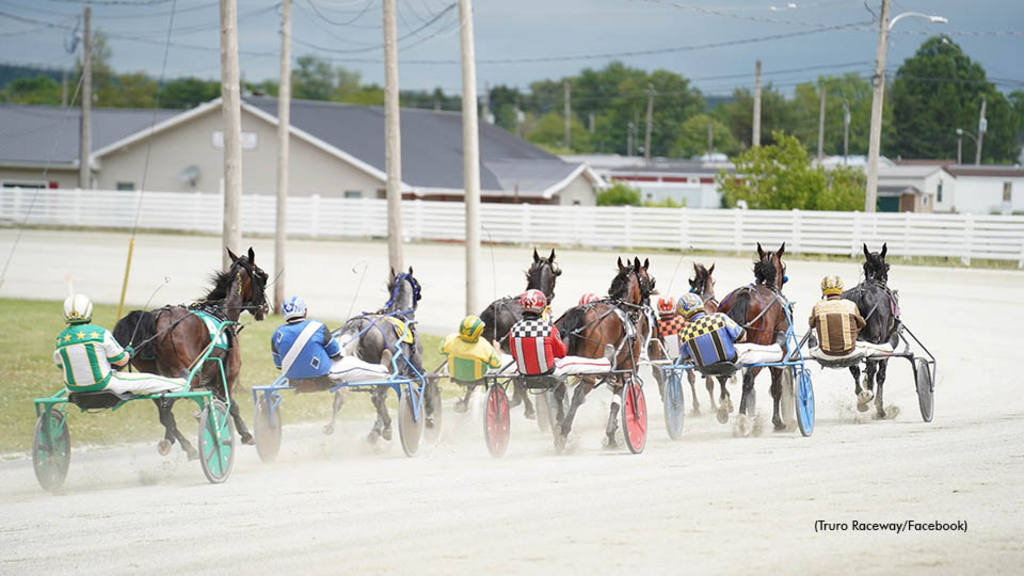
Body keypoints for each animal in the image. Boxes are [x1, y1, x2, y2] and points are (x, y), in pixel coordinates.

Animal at [113, 247, 270, 457]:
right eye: (263, 275)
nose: (265, 308)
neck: (222, 312)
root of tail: (157, 319)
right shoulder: (226, 376)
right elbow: (232, 405)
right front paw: (245, 434)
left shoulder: (210, 381)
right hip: (188, 376)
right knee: (167, 407)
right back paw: (175, 440)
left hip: (154, 375)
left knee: (164, 411)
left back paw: (184, 444)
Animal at [552, 255, 655, 448]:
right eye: (647, 280)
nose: (648, 303)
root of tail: (578, 314)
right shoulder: (627, 368)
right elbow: (618, 401)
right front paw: (613, 434)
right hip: (590, 370)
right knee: (578, 395)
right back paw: (563, 431)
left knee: (559, 391)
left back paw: (558, 427)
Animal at [712, 242, 790, 430]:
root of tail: (745, 293)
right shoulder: (779, 354)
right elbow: (776, 388)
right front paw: (778, 422)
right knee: (748, 380)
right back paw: (742, 419)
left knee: (722, 374)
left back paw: (725, 407)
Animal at [843, 241, 901, 416]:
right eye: (887, 267)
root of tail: (859, 295)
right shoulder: (886, 341)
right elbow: (881, 374)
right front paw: (879, 407)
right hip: (875, 339)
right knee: (872, 368)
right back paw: (869, 397)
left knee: (854, 367)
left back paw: (861, 395)